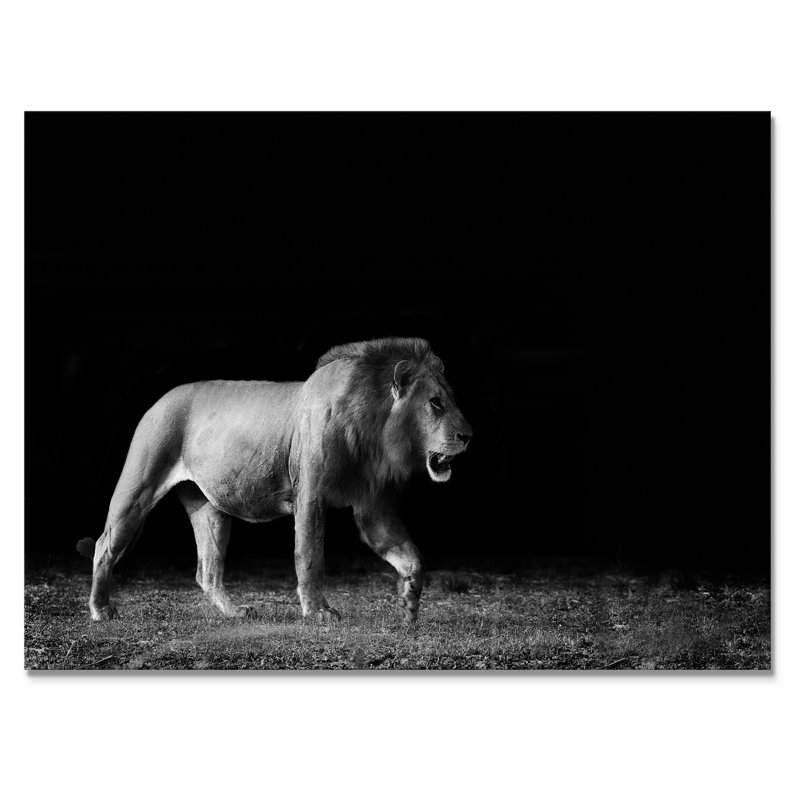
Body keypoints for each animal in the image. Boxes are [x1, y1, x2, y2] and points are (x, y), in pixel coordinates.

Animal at [77, 337, 472, 624]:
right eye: (435, 403)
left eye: (450, 400)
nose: (469, 436)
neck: (376, 430)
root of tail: (159, 399)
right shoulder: (310, 495)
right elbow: (310, 555)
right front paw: (318, 612)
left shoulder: (374, 508)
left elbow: (413, 557)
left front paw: (409, 604)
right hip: (138, 487)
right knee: (104, 546)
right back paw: (101, 611)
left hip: (211, 509)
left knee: (207, 572)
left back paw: (235, 612)